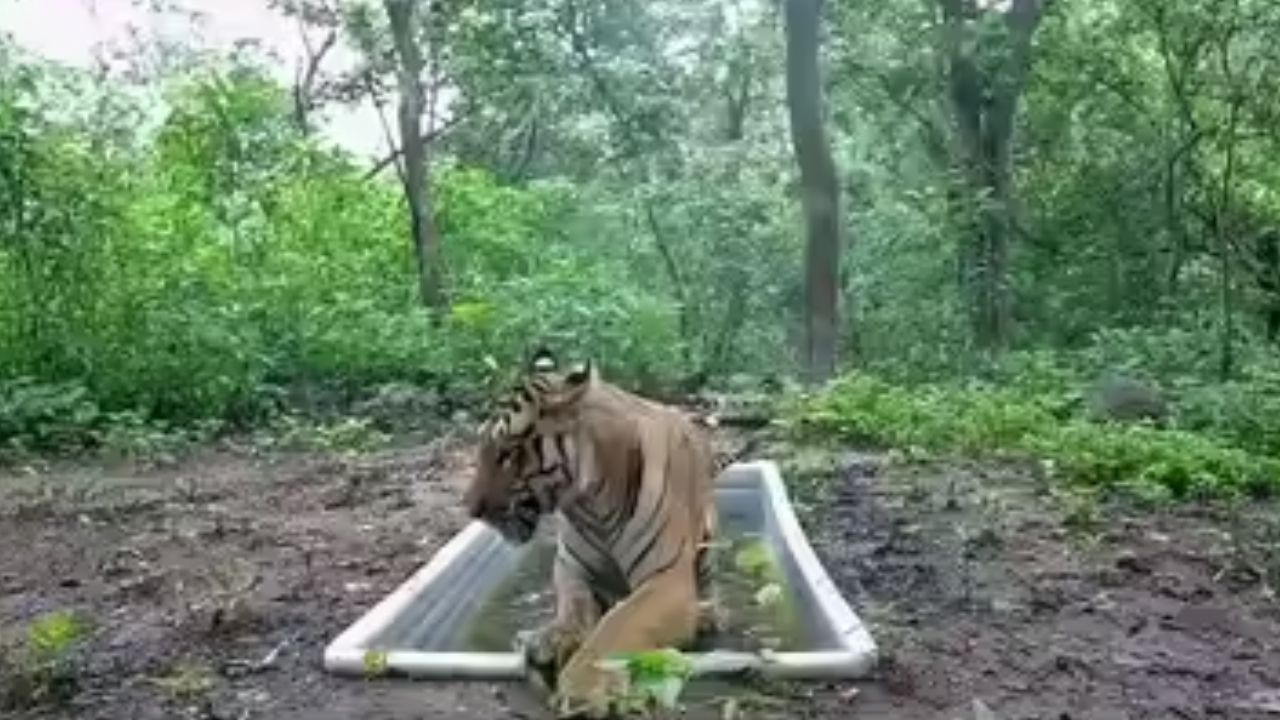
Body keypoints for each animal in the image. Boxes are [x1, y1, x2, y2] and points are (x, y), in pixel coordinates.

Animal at [463, 348, 719, 718]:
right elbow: (573, 607)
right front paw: (551, 640)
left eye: (506, 453)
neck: (591, 506)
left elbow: (616, 625)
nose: (469, 508)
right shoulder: (571, 567)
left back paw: (705, 617)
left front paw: (582, 686)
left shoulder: (666, 580)